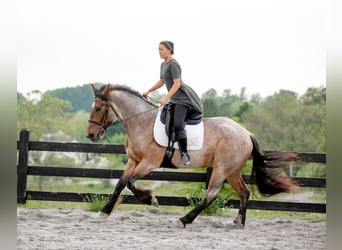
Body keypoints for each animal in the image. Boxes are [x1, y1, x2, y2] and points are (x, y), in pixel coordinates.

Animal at [86, 83, 300, 227]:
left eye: (99, 108)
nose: (91, 135)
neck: (141, 122)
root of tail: (246, 133)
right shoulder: (133, 160)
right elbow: (120, 183)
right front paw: (104, 212)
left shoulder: (149, 163)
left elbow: (130, 182)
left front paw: (151, 199)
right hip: (232, 171)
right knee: (244, 193)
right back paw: (237, 222)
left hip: (221, 169)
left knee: (211, 195)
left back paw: (183, 219)